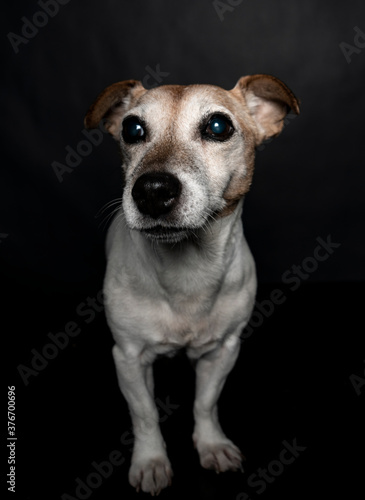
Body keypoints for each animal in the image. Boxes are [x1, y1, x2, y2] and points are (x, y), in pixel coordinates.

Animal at [85, 75, 298, 496]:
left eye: (218, 126)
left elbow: (205, 403)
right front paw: (151, 461)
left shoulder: (223, 350)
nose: (151, 189)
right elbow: (145, 413)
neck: (187, 271)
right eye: (132, 129)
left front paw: (212, 445)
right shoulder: (128, 357)